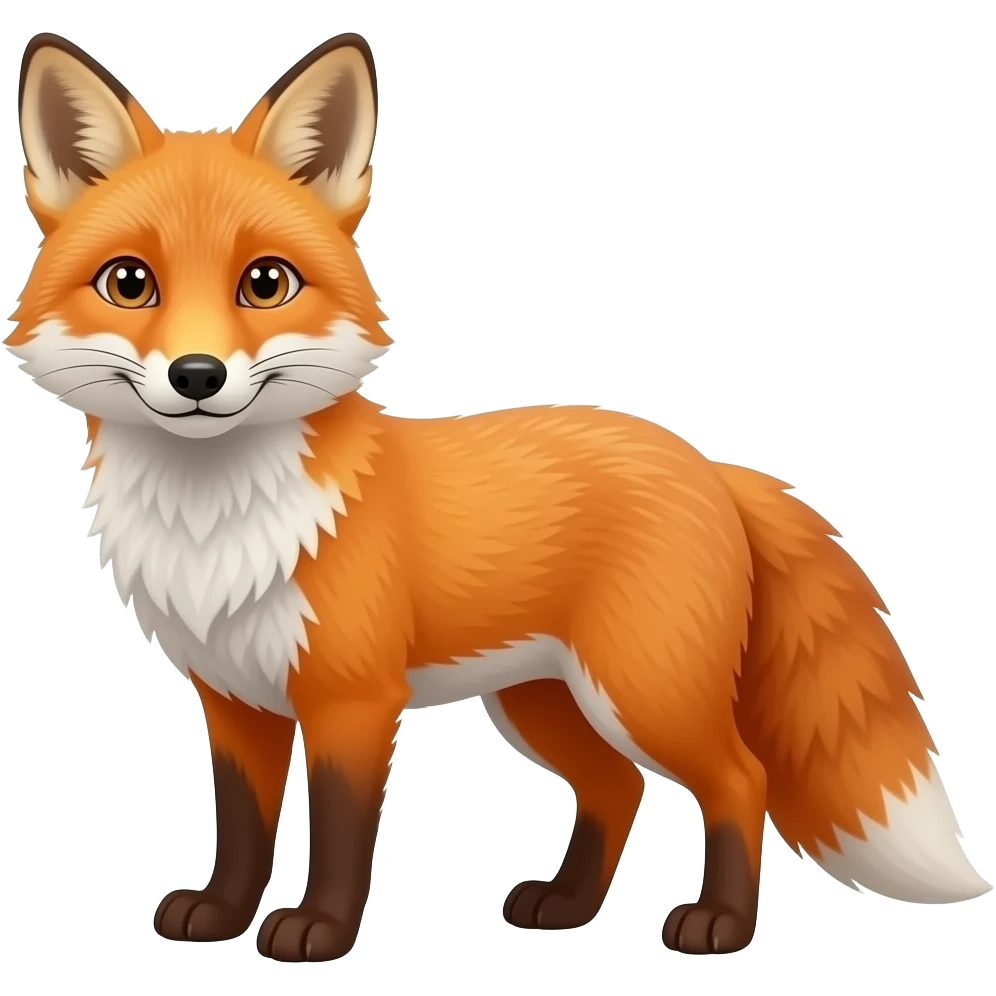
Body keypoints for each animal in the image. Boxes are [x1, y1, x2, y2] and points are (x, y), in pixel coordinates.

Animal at [8, 29, 991, 963]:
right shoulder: (236, 700)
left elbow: (340, 834)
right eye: (130, 283)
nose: (198, 375)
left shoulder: (353, 701)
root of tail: (710, 463)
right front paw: (219, 915)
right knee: (617, 786)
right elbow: (243, 829)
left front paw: (319, 932)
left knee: (739, 781)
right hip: (543, 700)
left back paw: (719, 924)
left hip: (643, 692)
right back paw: (567, 907)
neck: (216, 521)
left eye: (266, 283)